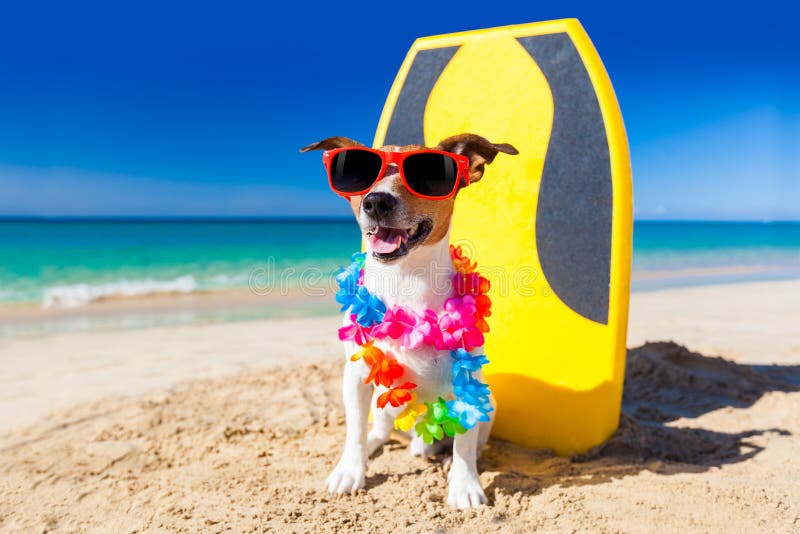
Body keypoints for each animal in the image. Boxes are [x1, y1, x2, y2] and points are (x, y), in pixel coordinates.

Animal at [302, 134, 520, 510]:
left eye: (428, 174)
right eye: (361, 173)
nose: (376, 202)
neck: (404, 282)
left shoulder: (468, 379)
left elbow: (465, 444)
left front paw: (464, 485)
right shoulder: (355, 376)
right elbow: (354, 431)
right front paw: (350, 470)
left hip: (489, 404)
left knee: (471, 441)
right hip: (382, 405)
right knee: (377, 431)